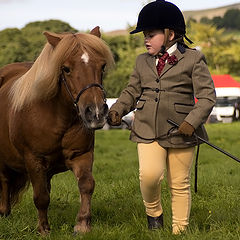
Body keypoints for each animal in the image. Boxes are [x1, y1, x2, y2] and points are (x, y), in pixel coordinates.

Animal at [0, 26, 113, 234]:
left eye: (102, 66)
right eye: (66, 69)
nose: (95, 112)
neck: (57, 116)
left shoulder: (82, 155)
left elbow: (86, 185)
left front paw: (82, 224)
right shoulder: (34, 160)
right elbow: (40, 196)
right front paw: (43, 229)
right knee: (4, 180)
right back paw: (4, 212)